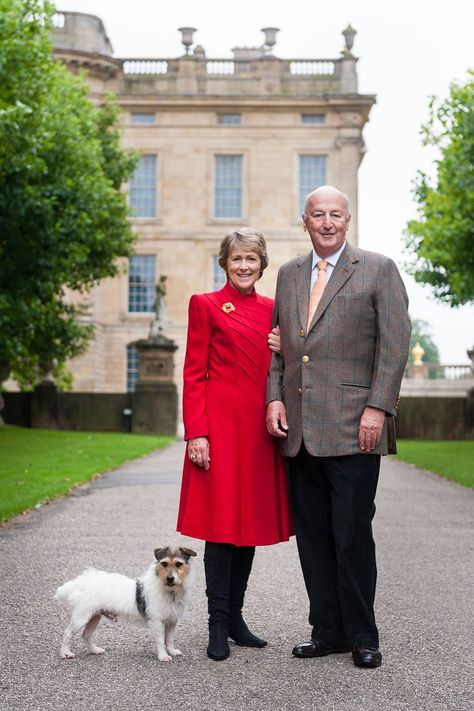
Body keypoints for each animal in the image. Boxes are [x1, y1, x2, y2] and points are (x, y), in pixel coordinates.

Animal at [53, 548, 196, 664]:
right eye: (164, 563)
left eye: (179, 564)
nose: (170, 578)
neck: (169, 591)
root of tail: (82, 582)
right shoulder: (157, 621)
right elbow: (161, 640)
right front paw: (163, 656)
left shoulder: (172, 621)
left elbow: (170, 639)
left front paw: (171, 651)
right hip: (81, 617)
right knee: (67, 634)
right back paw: (65, 653)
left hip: (94, 617)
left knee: (86, 635)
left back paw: (95, 650)